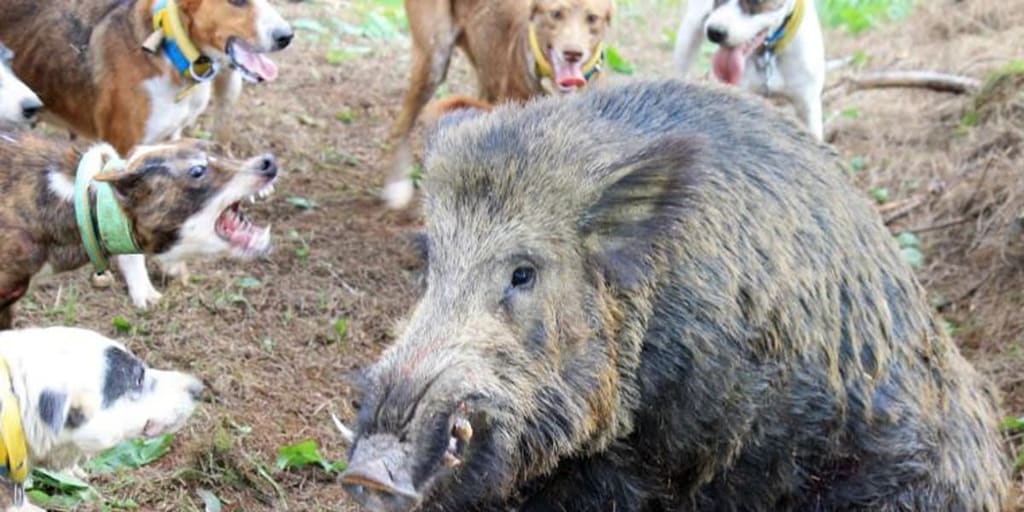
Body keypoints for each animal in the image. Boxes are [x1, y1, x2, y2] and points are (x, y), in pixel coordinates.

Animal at [380, 0, 610, 209]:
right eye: (556, 14)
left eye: (592, 18)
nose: (572, 54)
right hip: (434, 60)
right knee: (401, 125)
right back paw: (398, 183)